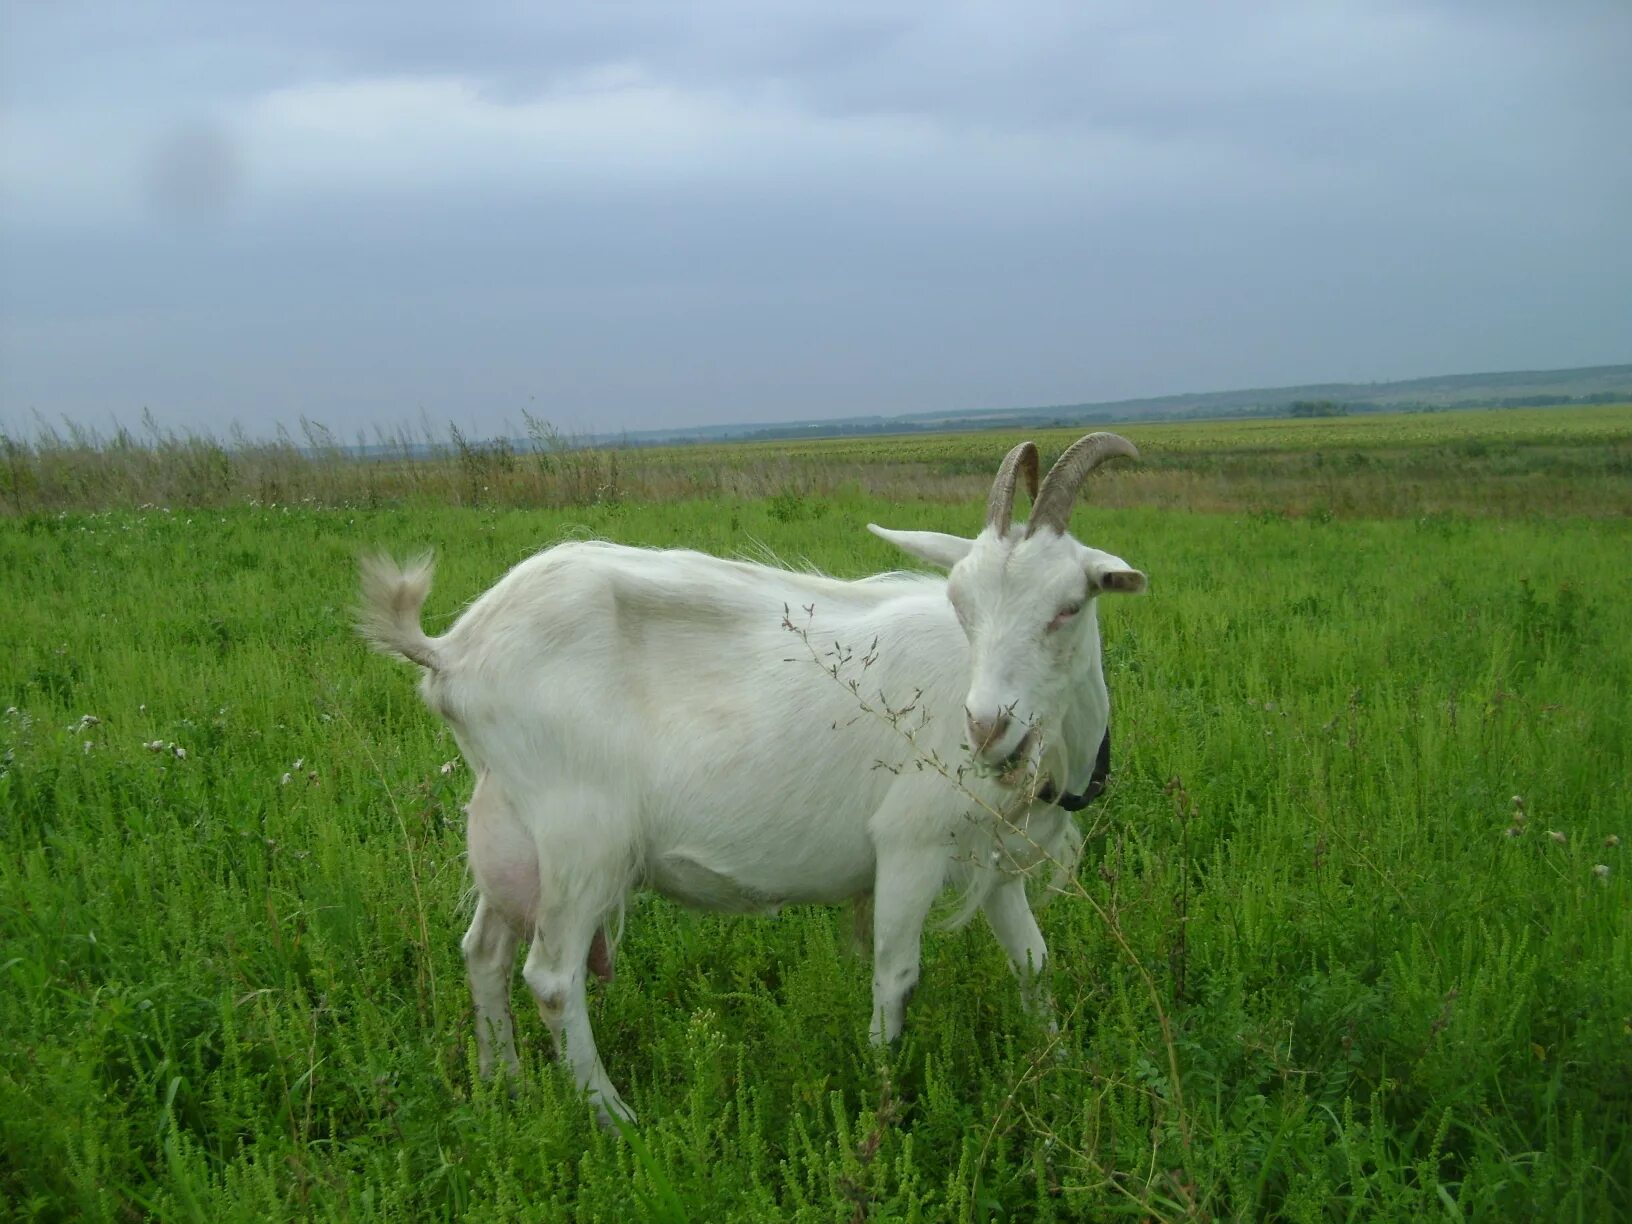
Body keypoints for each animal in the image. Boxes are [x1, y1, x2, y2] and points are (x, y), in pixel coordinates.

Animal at [362, 437, 1142, 1129]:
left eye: (1069, 605)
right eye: (963, 604)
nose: (985, 728)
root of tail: (452, 653)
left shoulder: (995, 858)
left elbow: (1034, 963)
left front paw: (1063, 1071)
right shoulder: (909, 844)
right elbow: (896, 977)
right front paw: (882, 1101)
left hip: (511, 826)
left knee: (484, 953)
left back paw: (506, 1087)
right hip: (581, 838)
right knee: (552, 978)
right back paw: (614, 1118)